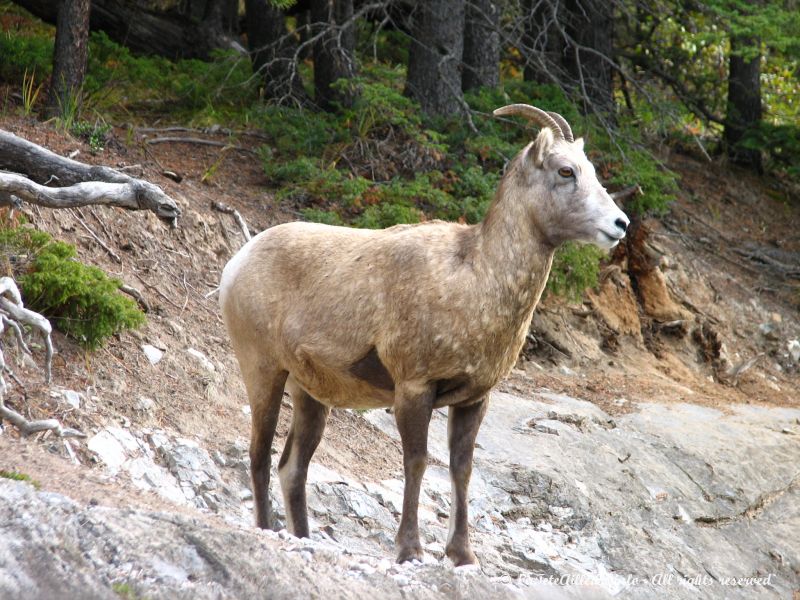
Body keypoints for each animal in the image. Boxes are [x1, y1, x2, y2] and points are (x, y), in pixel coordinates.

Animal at [220, 104, 632, 568]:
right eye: (566, 171)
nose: (620, 224)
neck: (475, 279)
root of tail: (237, 263)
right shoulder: (414, 389)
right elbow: (416, 462)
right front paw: (409, 550)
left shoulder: (473, 400)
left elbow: (460, 469)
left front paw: (463, 556)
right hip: (263, 372)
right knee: (259, 454)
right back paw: (266, 528)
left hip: (311, 397)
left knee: (292, 467)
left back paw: (303, 536)